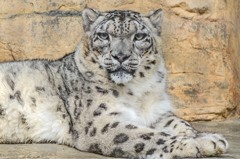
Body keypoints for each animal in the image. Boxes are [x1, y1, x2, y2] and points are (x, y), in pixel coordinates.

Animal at [0, 7, 229, 159]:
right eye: (103, 35)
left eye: (139, 36)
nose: (120, 56)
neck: (139, 91)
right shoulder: (102, 122)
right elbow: (150, 136)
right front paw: (201, 142)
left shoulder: (157, 112)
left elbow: (179, 123)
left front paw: (202, 135)